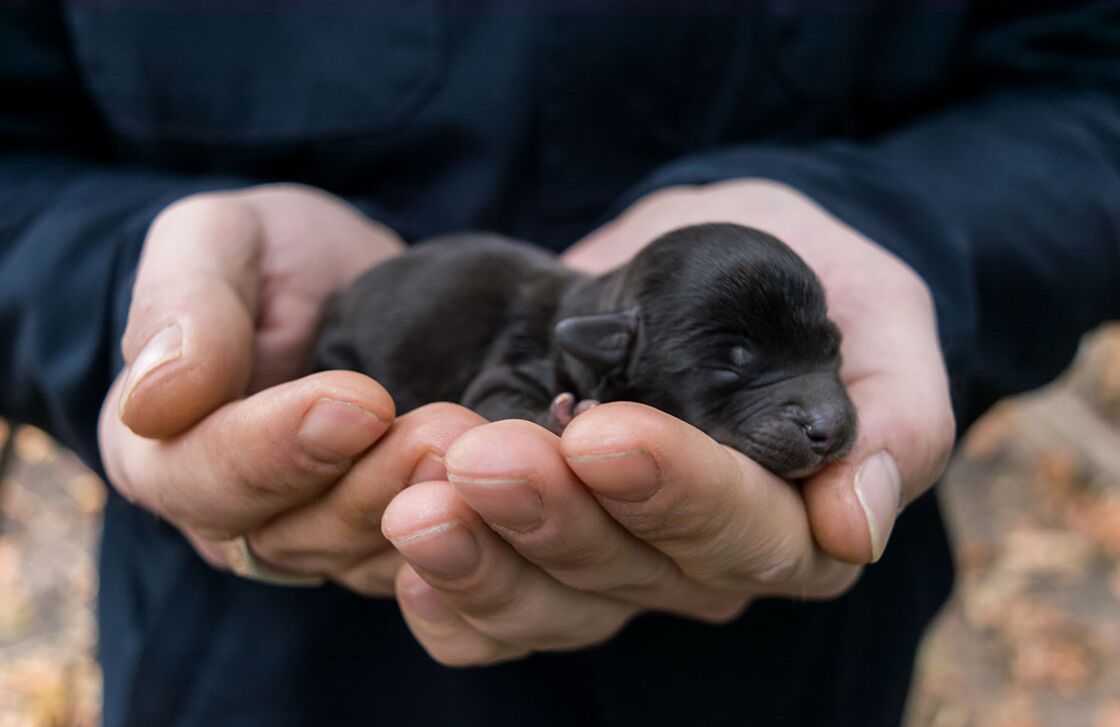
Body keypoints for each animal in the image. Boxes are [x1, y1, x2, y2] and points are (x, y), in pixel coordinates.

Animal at [315, 224, 855, 479]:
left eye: (833, 349)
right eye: (731, 365)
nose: (830, 429)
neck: (599, 304)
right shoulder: (510, 366)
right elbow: (496, 395)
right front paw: (564, 416)